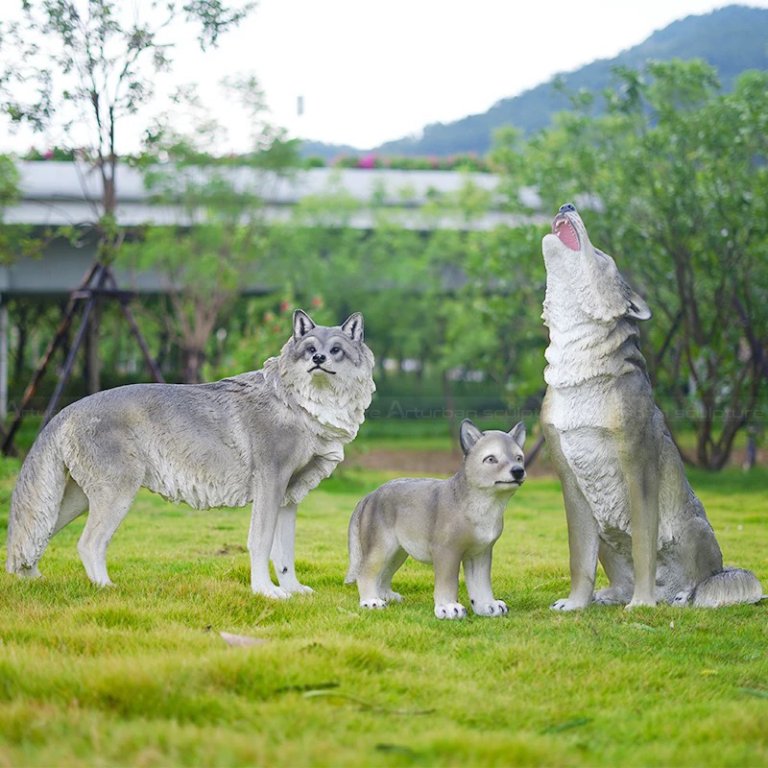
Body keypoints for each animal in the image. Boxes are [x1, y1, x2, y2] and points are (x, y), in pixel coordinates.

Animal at [6, 310, 375, 599]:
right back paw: (106, 589)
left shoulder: (289, 498)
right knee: (87, 544)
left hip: (73, 503)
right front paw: (266, 592)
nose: (318, 360)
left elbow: (285, 553)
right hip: (116, 496)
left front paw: (293, 591)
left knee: (34, 539)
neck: (300, 405)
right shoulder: (269, 487)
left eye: (336, 350)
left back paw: (32, 583)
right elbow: (260, 543)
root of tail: (68, 410)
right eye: (310, 349)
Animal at [346, 419, 526, 619]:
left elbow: (481, 584)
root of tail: (370, 495)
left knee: (383, 574)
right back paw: (371, 601)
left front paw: (487, 606)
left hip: (398, 551)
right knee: (366, 572)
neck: (483, 504)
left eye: (519, 458)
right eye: (491, 459)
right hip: (381, 547)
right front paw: (448, 608)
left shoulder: (480, 552)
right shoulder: (446, 551)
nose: (518, 471)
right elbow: (448, 582)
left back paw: (387, 596)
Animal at [541, 203, 763, 610]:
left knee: (700, 582)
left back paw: (676, 597)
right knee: (617, 574)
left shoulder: (638, 463)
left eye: (601, 255)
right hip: (605, 532)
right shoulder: (568, 477)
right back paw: (613, 596)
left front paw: (641, 605)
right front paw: (575, 604)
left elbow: (644, 544)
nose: (567, 205)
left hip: (692, 529)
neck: (577, 368)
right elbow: (578, 558)